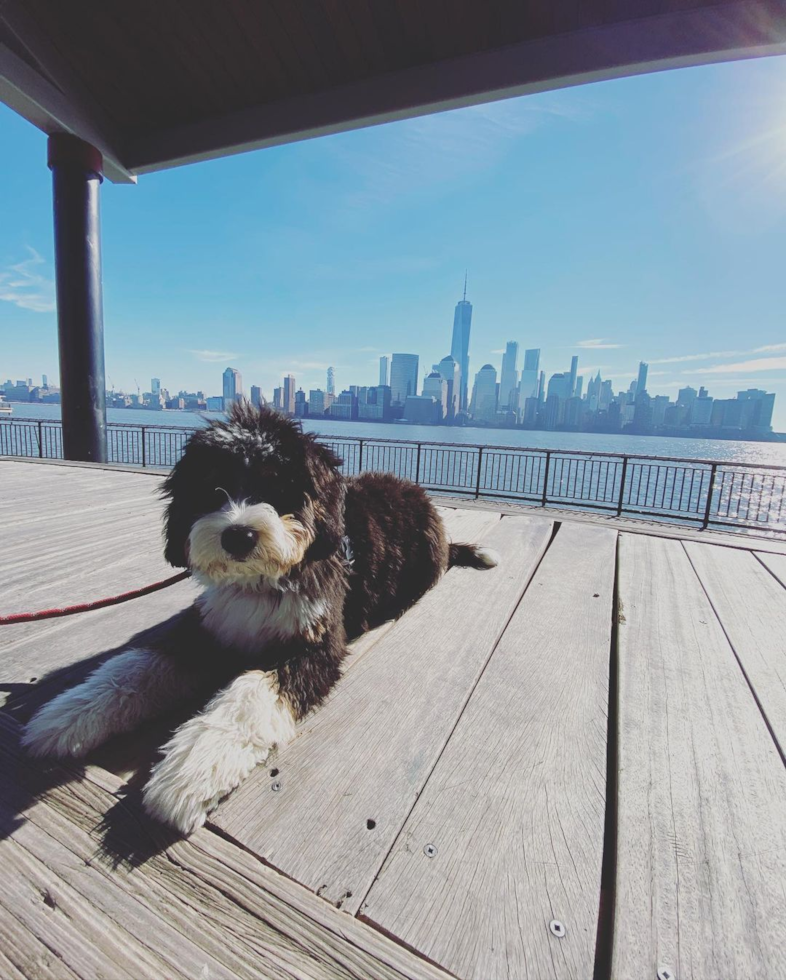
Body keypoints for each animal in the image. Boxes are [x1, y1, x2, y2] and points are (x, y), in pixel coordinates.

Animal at [23, 404, 496, 836]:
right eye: (213, 488)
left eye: (279, 488)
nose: (238, 535)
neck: (259, 583)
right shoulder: (207, 623)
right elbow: (136, 667)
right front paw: (70, 715)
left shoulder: (315, 642)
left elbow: (248, 697)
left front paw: (193, 770)